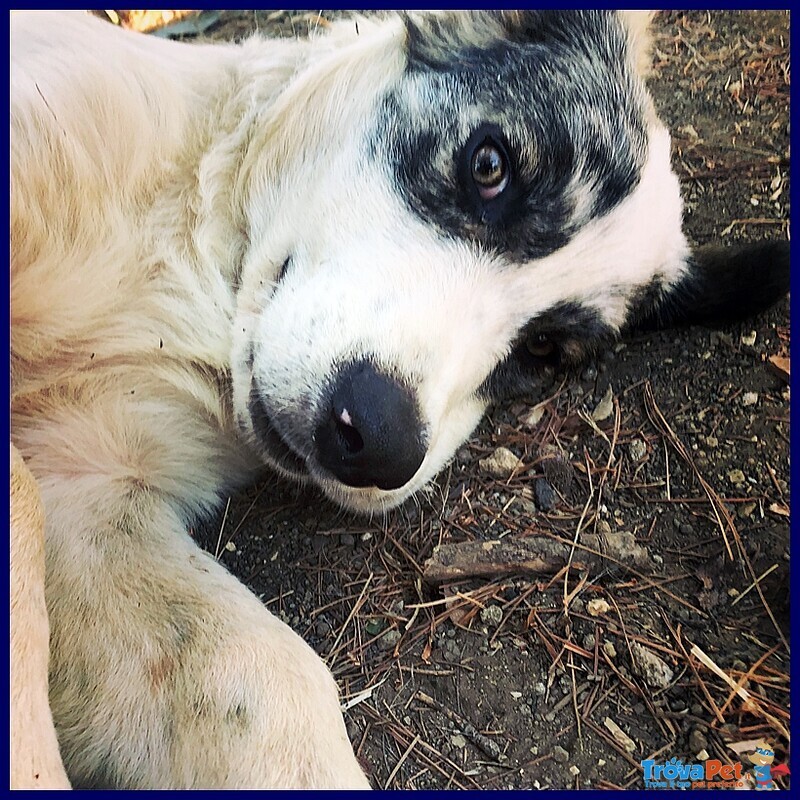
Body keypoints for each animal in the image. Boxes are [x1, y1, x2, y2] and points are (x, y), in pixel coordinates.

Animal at [10, 9, 788, 792]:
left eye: (543, 349)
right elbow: (20, 499)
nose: (375, 441)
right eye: (489, 166)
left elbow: (269, 683)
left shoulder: (90, 488)